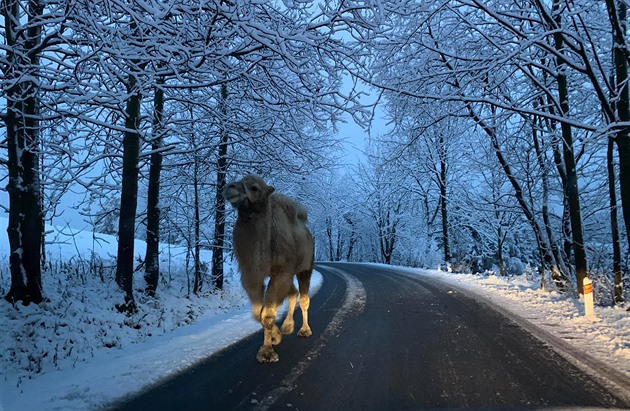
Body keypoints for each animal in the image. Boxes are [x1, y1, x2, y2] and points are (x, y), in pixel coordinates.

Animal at [225, 174, 316, 364]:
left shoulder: (282, 272)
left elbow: (266, 313)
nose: (229, 187)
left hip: (305, 268)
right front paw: (275, 336)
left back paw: (303, 330)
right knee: (293, 292)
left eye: (254, 187)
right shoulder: (251, 275)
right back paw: (287, 327)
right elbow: (258, 313)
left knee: (304, 298)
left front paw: (267, 351)